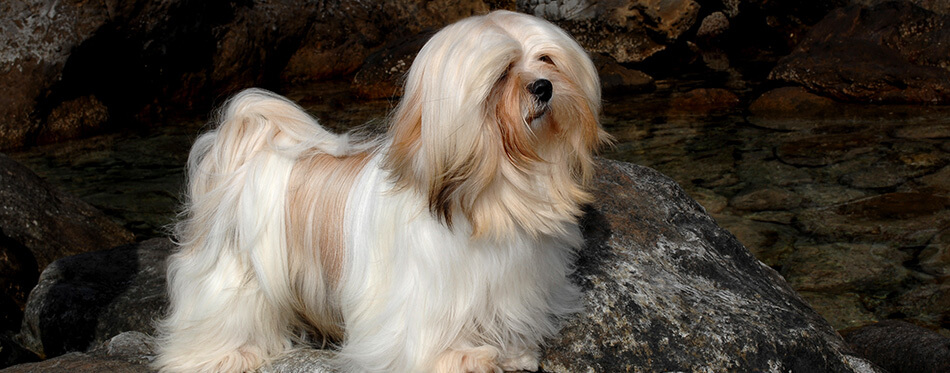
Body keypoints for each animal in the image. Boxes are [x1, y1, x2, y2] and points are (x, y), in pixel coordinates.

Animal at [152, 9, 608, 372]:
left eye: (546, 59)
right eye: (502, 74)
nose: (544, 86)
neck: (496, 188)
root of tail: (246, 154)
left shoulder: (509, 286)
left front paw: (512, 353)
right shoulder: (426, 296)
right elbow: (428, 338)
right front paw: (460, 359)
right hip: (232, 273)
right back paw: (226, 355)